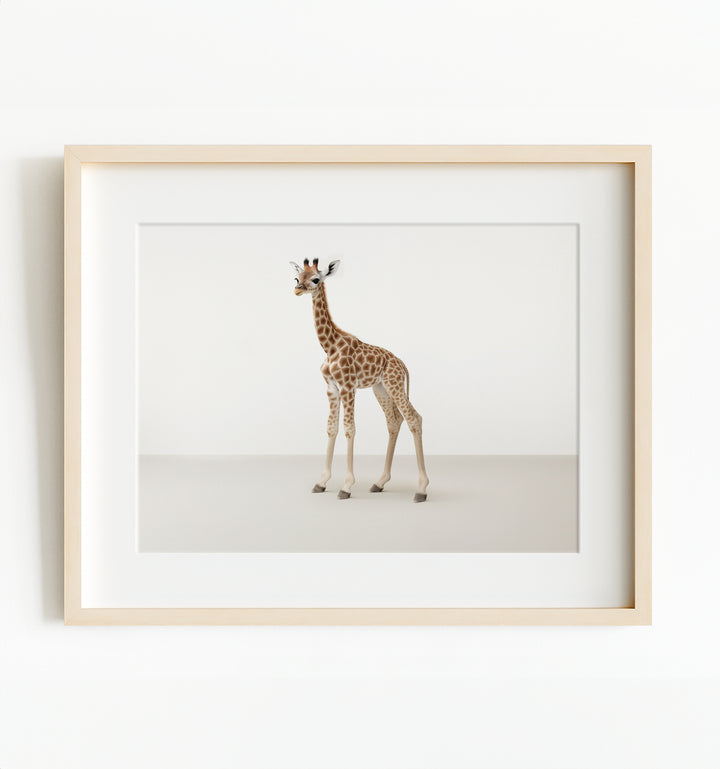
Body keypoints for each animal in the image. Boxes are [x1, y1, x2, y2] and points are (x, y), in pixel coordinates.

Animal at [290, 258, 429, 502]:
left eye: (315, 279)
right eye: (297, 277)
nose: (297, 289)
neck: (330, 346)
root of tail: (402, 363)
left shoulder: (348, 386)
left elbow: (349, 428)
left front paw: (346, 486)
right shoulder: (331, 388)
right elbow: (332, 428)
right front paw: (321, 482)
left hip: (394, 384)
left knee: (414, 418)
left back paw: (421, 490)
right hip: (381, 388)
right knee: (394, 421)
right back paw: (380, 482)